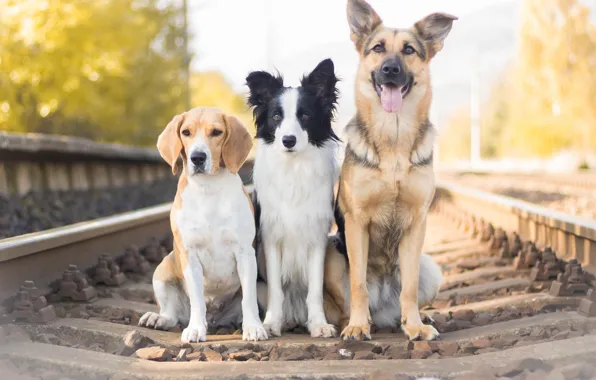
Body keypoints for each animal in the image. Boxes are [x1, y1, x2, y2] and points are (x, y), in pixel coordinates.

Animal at [139, 107, 266, 344]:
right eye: (186, 132)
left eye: (216, 132)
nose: (197, 157)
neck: (209, 189)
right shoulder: (190, 255)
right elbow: (197, 300)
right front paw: (196, 329)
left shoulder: (245, 253)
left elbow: (248, 299)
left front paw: (253, 328)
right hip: (162, 270)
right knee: (172, 315)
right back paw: (158, 318)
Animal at [247, 58, 340, 336]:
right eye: (276, 116)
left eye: (305, 115)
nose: (288, 140)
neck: (294, 167)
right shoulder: (271, 238)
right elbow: (277, 289)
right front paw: (271, 324)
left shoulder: (317, 237)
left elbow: (315, 290)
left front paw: (319, 325)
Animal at [322, 0, 456, 342]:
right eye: (378, 48)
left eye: (408, 50)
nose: (390, 70)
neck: (393, 135)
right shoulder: (357, 223)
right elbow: (358, 285)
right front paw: (358, 326)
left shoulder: (416, 224)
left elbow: (409, 286)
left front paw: (416, 326)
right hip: (331, 254)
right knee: (348, 303)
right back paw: (355, 322)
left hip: (432, 267)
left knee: (404, 297)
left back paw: (412, 320)